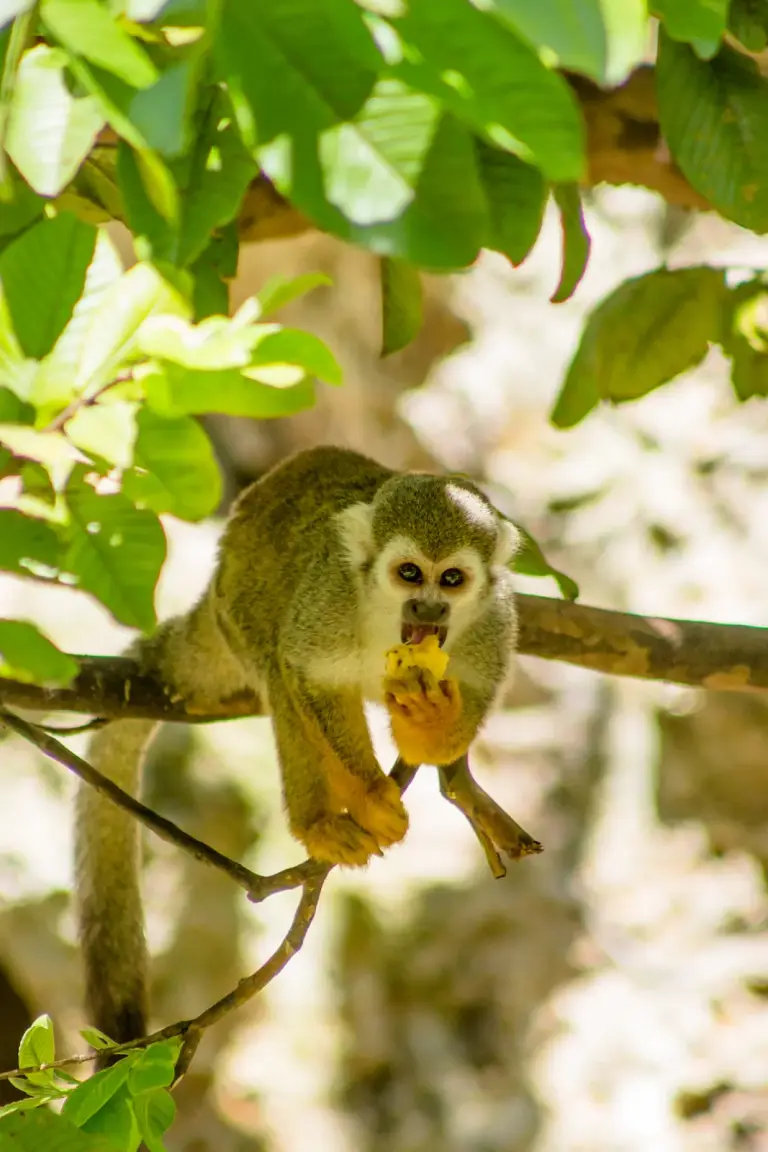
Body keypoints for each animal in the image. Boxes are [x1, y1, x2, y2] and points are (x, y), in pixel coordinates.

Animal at [75, 446, 519, 1047]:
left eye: (452, 579)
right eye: (409, 574)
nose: (428, 611)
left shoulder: (495, 624)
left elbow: (454, 730)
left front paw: (429, 722)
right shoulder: (329, 595)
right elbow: (308, 676)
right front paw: (372, 794)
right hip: (236, 610)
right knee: (278, 670)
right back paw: (321, 823)